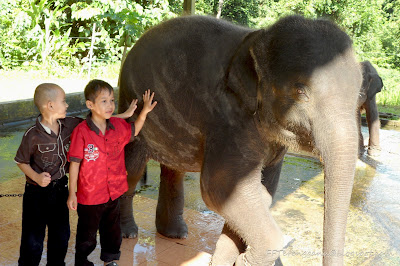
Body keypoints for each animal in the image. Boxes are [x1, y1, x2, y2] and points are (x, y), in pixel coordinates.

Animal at [117, 15, 360, 266]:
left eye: (359, 94)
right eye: (301, 93)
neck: (258, 38)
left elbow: (261, 189)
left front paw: (229, 259)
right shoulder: (228, 120)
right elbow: (219, 187)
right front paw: (242, 259)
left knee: (174, 169)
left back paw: (175, 234)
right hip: (132, 103)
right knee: (132, 169)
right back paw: (128, 233)